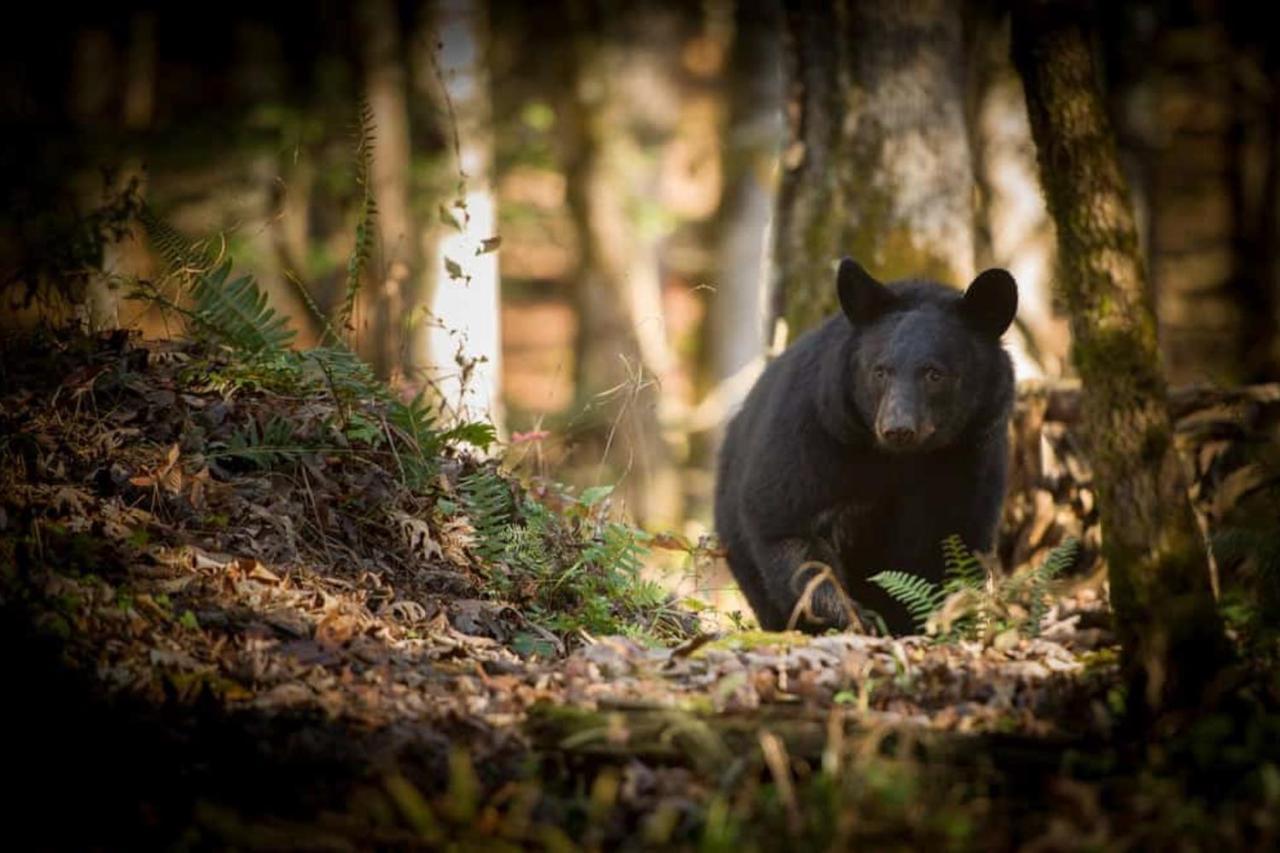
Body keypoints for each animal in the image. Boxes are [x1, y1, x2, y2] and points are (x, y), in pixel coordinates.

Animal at [716, 256, 1013, 635]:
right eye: (880, 371)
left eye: (935, 374)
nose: (898, 428)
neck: (901, 459)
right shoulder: (813, 432)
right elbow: (788, 526)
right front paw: (855, 617)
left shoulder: (973, 455)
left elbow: (955, 542)